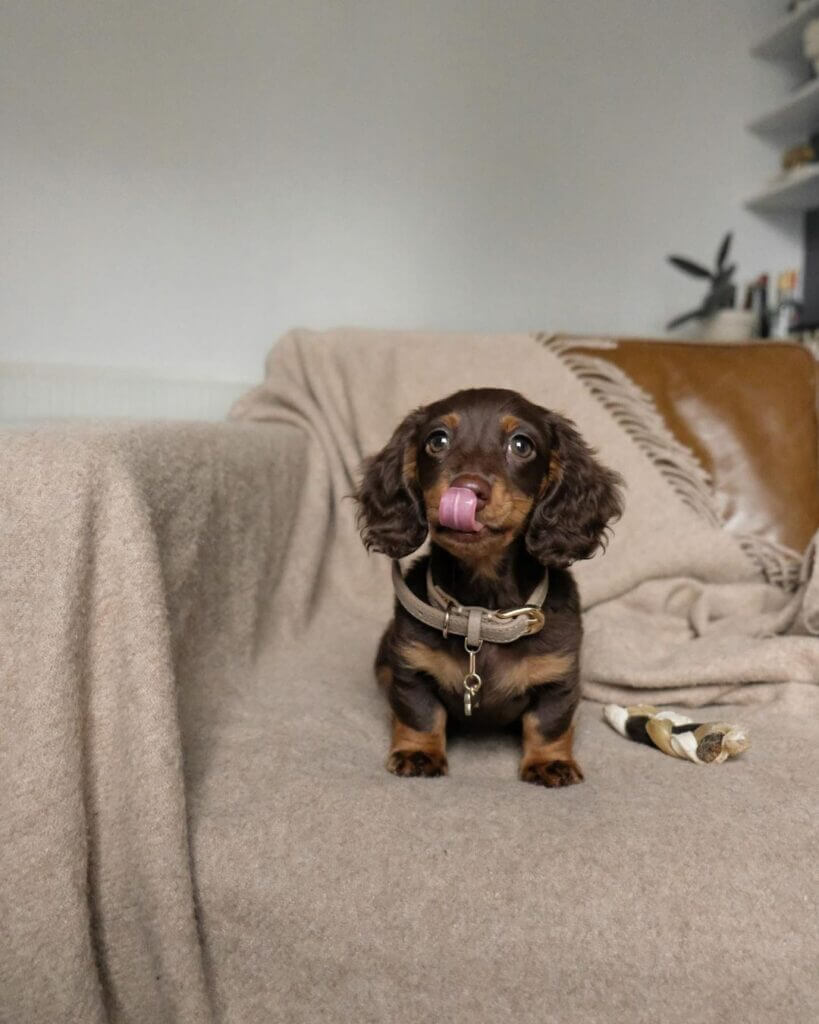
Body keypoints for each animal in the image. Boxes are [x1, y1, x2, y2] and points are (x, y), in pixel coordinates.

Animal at [354, 387, 622, 786]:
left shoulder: (559, 677)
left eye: (521, 444)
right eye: (437, 440)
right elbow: (420, 715)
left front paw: (549, 762)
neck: (482, 612)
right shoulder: (410, 668)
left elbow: (548, 724)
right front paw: (418, 753)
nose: (467, 490)